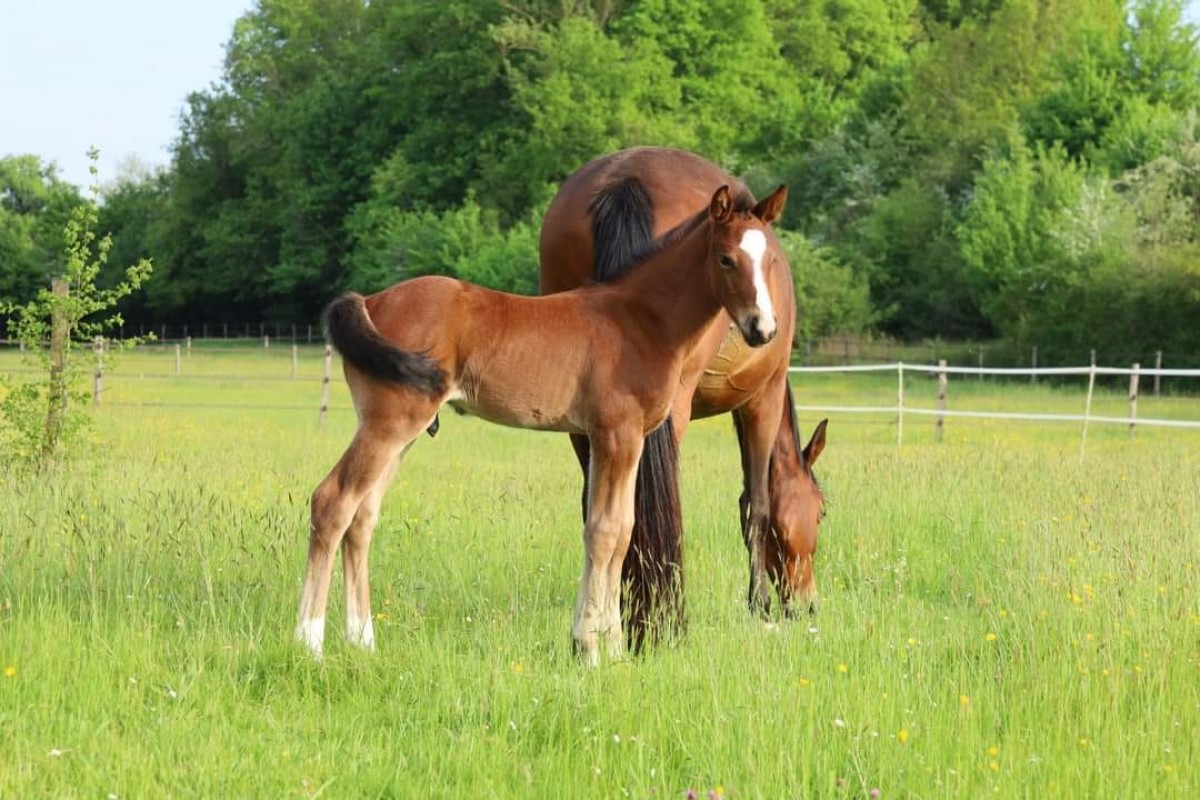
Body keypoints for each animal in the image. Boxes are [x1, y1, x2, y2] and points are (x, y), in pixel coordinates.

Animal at [295, 183, 789, 665]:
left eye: (770, 259)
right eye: (725, 258)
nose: (763, 329)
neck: (640, 320)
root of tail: (369, 301)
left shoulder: (621, 439)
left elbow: (620, 529)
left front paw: (609, 646)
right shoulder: (616, 435)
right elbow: (605, 531)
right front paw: (592, 648)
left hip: (402, 432)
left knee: (363, 517)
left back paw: (363, 641)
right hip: (390, 423)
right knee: (332, 502)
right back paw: (309, 644)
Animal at [539, 147, 828, 637]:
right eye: (822, 511)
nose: (807, 605)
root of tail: (626, 179)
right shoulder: (761, 399)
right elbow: (757, 505)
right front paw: (760, 605)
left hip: (583, 417)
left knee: (600, 510)